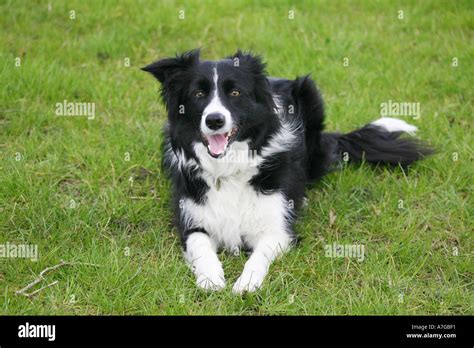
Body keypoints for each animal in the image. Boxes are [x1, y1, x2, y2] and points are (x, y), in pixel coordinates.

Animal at [142, 49, 434, 294]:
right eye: (198, 94)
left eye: (235, 93)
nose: (215, 120)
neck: (230, 168)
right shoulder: (191, 222)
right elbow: (201, 247)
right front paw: (211, 279)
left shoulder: (278, 229)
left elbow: (258, 256)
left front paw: (246, 284)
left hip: (310, 96)